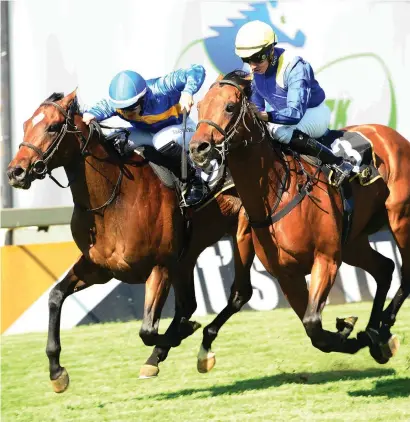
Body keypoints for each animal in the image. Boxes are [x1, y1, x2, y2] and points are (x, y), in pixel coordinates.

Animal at [6, 90, 255, 392]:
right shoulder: (99, 268)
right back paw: (158, 356)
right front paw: (56, 372)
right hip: (187, 255)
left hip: (243, 234)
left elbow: (147, 330)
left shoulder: (159, 267)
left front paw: (185, 331)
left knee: (239, 295)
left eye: (53, 126)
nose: (16, 172)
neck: (113, 200)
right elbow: (55, 296)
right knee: (189, 304)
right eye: (26, 124)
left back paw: (202, 347)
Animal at [190, 71, 410, 362]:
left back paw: (383, 326)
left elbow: (313, 323)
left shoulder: (326, 259)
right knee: (385, 268)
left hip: (400, 219)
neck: (276, 193)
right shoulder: (287, 275)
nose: (198, 148)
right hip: (353, 241)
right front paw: (350, 332)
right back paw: (375, 332)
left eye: (229, 106)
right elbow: (314, 332)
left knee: (406, 272)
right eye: (199, 107)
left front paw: (349, 330)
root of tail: (393, 135)